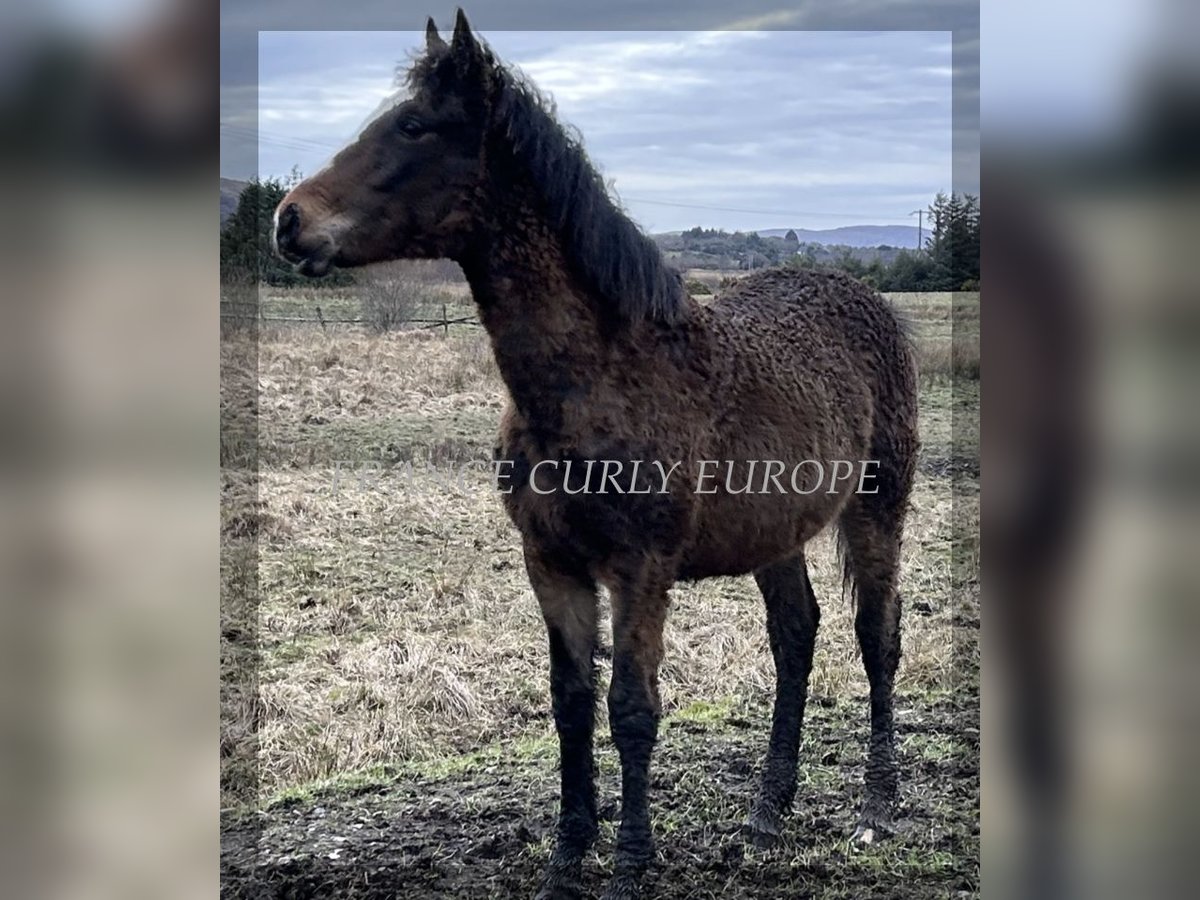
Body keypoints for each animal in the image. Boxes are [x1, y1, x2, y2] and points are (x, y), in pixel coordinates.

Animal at [278, 10, 916, 897]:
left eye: (412, 126)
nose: (287, 220)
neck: (600, 377)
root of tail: (867, 299)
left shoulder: (639, 569)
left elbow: (632, 708)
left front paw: (630, 863)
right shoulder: (551, 564)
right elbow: (571, 703)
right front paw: (567, 857)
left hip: (878, 506)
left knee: (876, 635)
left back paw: (877, 806)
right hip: (775, 531)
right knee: (796, 637)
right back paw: (766, 811)